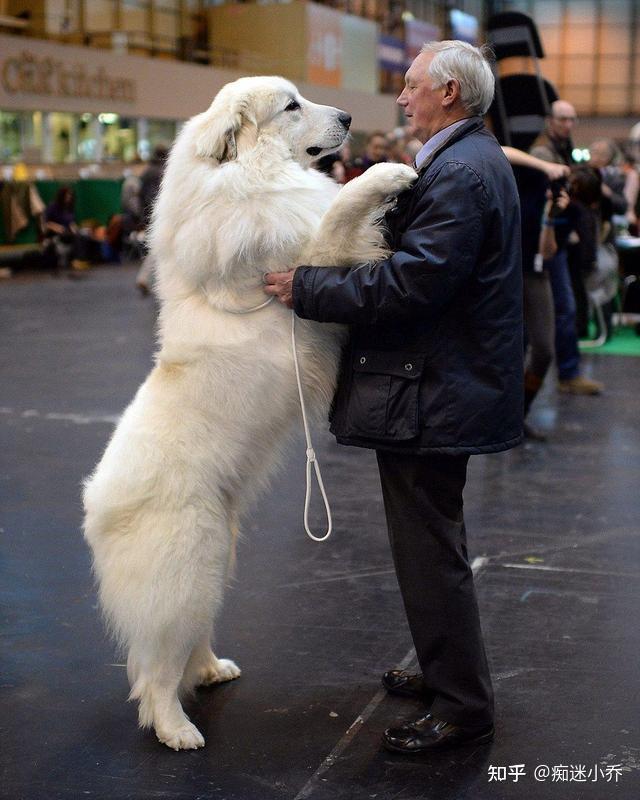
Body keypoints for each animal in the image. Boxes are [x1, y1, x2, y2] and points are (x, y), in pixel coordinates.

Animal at [84, 75, 416, 752]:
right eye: (290, 106)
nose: (350, 116)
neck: (247, 178)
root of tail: (94, 507)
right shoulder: (307, 258)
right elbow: (341, 208)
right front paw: (392, 172)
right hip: (186, 570)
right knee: (155, 671)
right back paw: (177, 730)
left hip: (216, 560)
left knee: (187, 643)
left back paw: (212, 670)